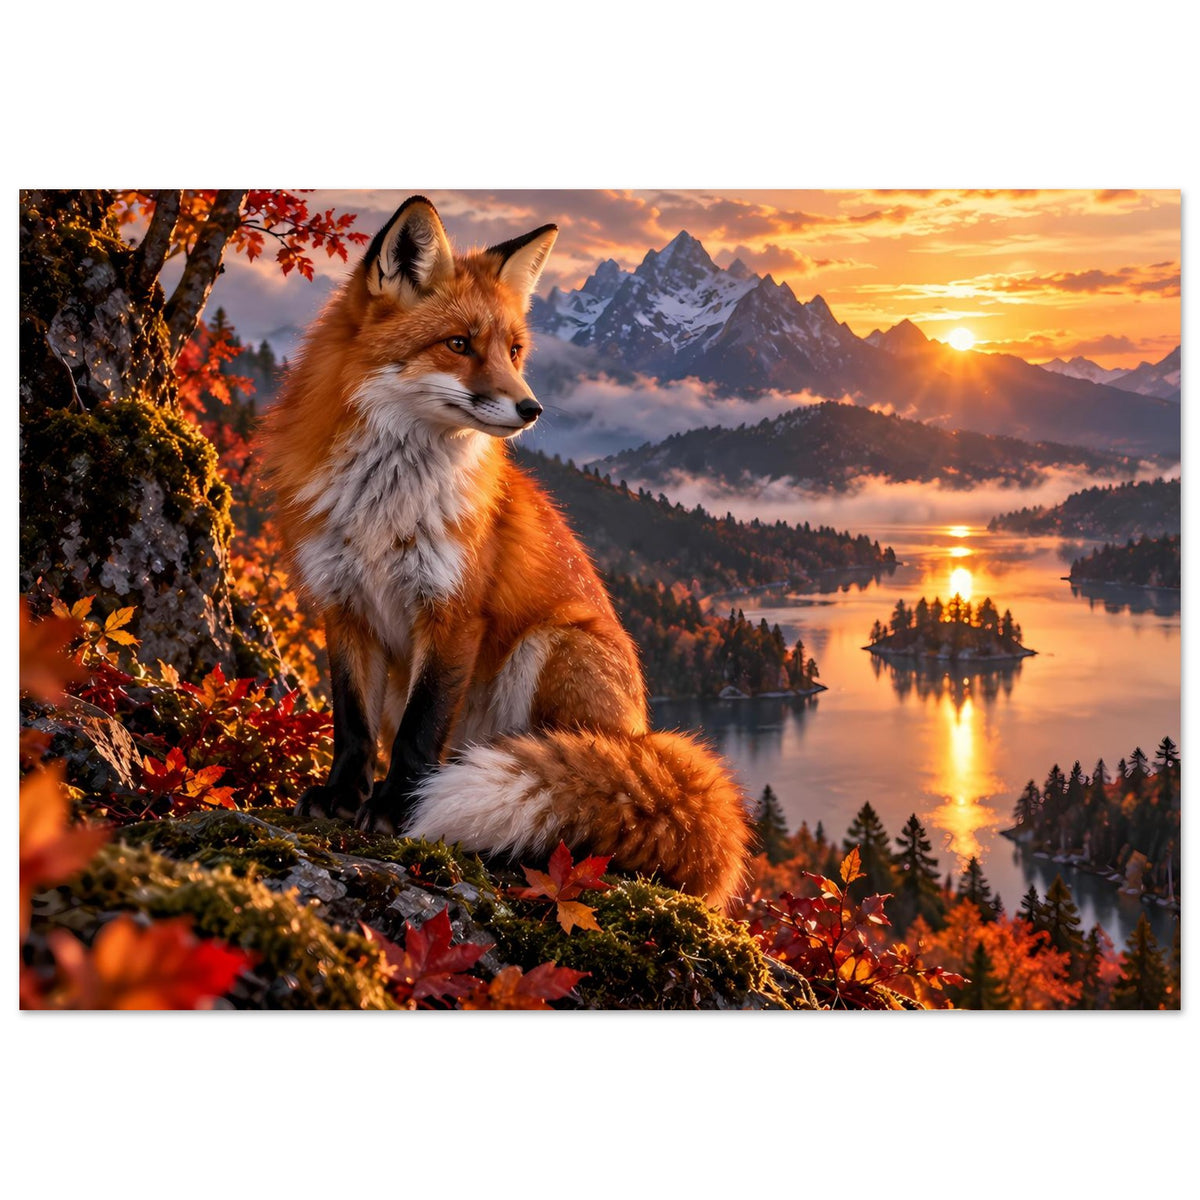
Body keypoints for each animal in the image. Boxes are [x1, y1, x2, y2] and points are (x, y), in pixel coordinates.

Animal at [261, 195, 751, 909]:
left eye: (515, 350)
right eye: (459, 344)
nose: (531, 408)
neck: (385, 505)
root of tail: (643, 734)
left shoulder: (453, 611)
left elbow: (418, 733)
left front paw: (397, 811)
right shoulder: (343, 603)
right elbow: (352, 725)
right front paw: (342, 798)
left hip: (550, 646)